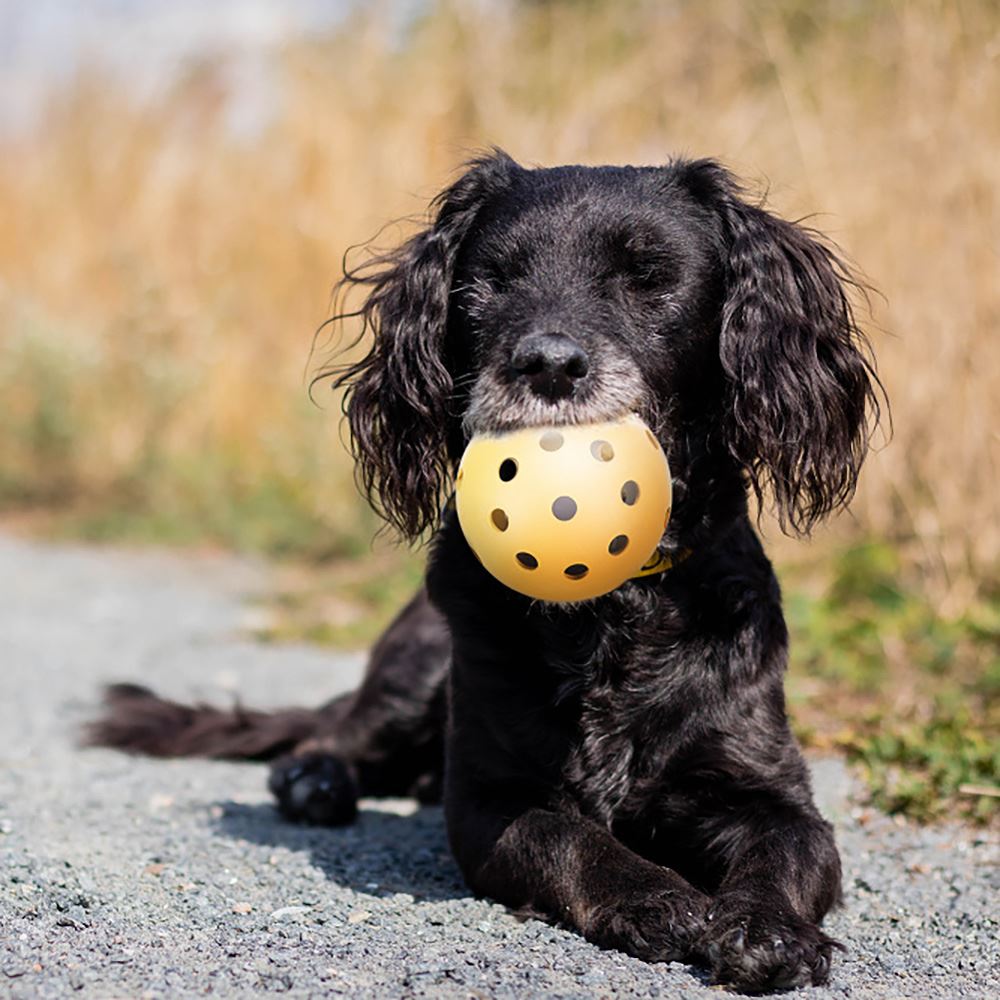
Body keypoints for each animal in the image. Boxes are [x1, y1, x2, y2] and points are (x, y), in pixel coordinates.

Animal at [90, 152, 880, 996]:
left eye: (649, 276)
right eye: (492, 282)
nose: (548, 364)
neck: (611, 607)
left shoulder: (768, 789)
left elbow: (786, 851)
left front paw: (768, 931)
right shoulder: (488, 800)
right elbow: (571, 841)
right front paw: (659, 900)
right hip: (416, 666)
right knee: (329, 736)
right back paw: (317, 781)